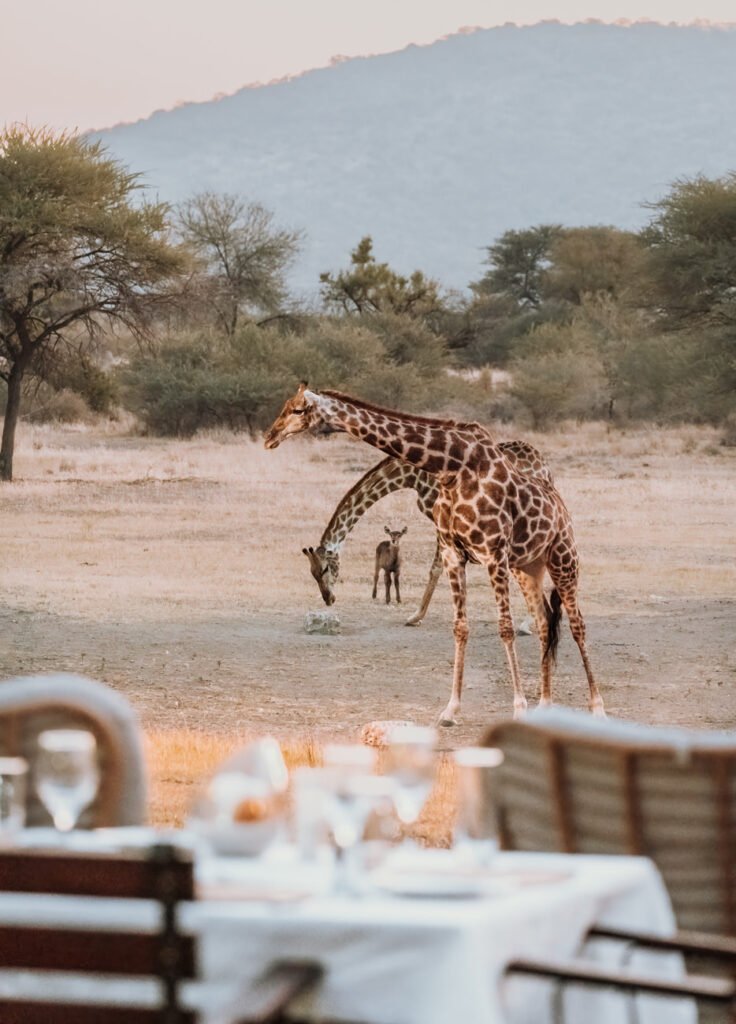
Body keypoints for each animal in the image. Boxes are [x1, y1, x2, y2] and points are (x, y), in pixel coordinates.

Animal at [300, 444, 552, 626]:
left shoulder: (441, 517)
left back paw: (530, 622)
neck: (412, 475)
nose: (328, 599)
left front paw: (415, 617)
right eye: (312, 573)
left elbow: (436, 568)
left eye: (325, 568)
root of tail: (543, 464)